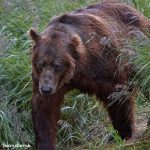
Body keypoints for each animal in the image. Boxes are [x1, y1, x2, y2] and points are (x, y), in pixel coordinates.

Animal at [29, 1, 150, 150]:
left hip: (137, 47)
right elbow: (45, 109)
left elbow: (118, 96)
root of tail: (133, 8)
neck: (77, 69)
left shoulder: (105, 64)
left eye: (57, 65)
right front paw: (45, 143)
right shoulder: (49, 81)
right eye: (41, 63)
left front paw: (124, 132)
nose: (46, 89)